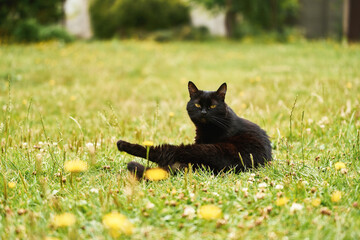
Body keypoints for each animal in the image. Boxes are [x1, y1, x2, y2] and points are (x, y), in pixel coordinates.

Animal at [116, 82, 272, 178]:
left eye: (212, 106)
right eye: (197, 105)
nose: (203, 112)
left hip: (202, 149)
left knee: (161, 152)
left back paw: (123, 145)